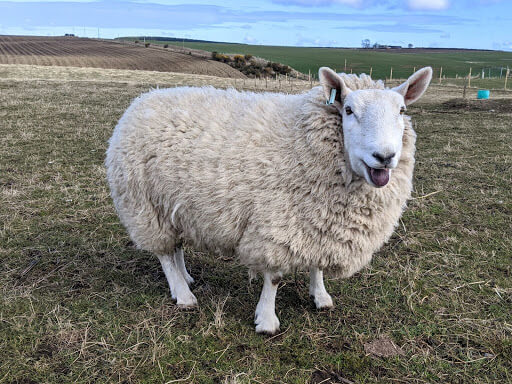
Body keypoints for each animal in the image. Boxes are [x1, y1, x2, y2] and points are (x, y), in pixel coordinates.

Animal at [106, 67, 434, 334]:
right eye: (349, 110)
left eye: (402, 110)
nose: (384, 156)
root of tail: (144, 99)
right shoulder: (277, 223)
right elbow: (273, 278)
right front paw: (266, 320)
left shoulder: (319, 220)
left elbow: (317, 265)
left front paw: (320, 296)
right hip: (144, 204)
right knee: (163, 251)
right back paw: (183, 295)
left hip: (173, 204)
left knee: (176, 247)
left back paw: (185, 278)